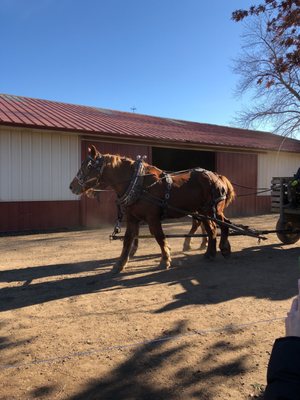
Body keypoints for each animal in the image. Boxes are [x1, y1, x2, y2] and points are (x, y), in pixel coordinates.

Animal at [69, 145, 236, 274]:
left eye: (88, 166)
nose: (72, 186)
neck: (138, 184)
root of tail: (217, 176)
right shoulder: (133, 218)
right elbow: (128, 240)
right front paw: (120, 264)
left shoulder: (153, 218)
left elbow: (159, 237)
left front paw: (165, 260)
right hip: (203, 212)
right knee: (211, 230)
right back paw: (209, 253)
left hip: (213, 211)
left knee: (225, 224)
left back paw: (224, 248)